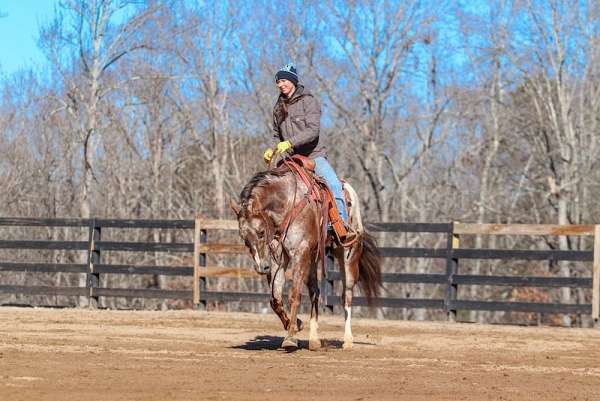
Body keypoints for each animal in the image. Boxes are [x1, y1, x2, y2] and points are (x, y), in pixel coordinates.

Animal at [230, 156, 380, 350]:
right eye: (243, 237)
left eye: (261, 232)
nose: (262, 267)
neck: (287, 203)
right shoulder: (280, 258)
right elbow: (275, 297)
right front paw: (296, 324)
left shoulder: (300, 252)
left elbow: (294, 295)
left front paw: (290, 337)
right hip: (313, 257)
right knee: (315, 291)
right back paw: (314, 339)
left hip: (348, 254)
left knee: (346, 295)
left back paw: (347, 340)